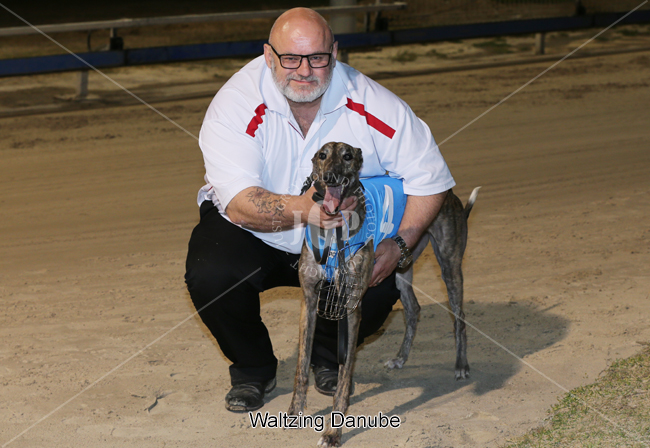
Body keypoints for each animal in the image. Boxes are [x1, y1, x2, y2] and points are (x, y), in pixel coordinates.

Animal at [289, 142, 479, 447]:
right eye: (322, 155)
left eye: (348, 156)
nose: (330, 177)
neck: (334, 229)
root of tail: (448, 194)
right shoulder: (308, 302)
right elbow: (301, 365)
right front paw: (295, 411)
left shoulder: (351, 307)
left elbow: (344, 376)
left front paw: (333, 432)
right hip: (402, 268)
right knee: (413, 310)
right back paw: (401, 358)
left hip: (450, 266)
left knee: (458, 318)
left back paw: (461, 364)